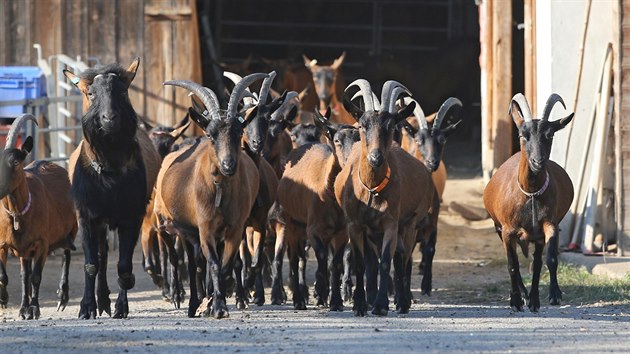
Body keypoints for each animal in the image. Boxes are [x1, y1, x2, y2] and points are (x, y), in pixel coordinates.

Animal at [0, 115, 78, 320]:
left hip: (71, 229)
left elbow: (36, 277)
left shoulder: (42, 243)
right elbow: (12, 276)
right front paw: (10, 303)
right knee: (24, 274)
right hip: (25, 251)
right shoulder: (4, 244)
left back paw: (62, 297)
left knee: (66, 255)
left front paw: (34, 309)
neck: (17, 215)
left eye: (16, 162)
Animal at [336, 79, 434, 316]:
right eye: (362, 126)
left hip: (409, 224)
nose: (376, 157)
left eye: (390, 126)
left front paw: (381, 305)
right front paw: (360, 305)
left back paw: (402, 301)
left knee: (402, 257)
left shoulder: (391, 222)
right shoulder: (355, 224)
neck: (371, 190)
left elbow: (386, 262)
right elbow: (361, 263)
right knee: (393, 256)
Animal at [484, 94, 576, 312]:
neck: (531, 195)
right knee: (514, 263)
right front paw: (517, 301)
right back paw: (520, 296)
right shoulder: (507, 230)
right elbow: (512, 265)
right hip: (498, 228)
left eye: (549, 135)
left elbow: (546, 261)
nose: (537, 161)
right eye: (522, 135)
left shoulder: (546, 226)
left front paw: (541, 299)